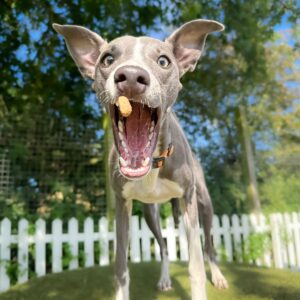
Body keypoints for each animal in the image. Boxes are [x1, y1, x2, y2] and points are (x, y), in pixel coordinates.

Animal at [53, 18, 227, 300]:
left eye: (164, 61)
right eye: (107, 58)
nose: (132, 77)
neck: (155, 162)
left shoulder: (189, 200)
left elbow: (196, 265)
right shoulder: (122, 205)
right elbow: (121, 267)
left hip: (204, 202)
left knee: (209, 244)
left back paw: (219, 276)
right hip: (149, 212)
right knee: (164, 244)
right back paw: (165, 279)